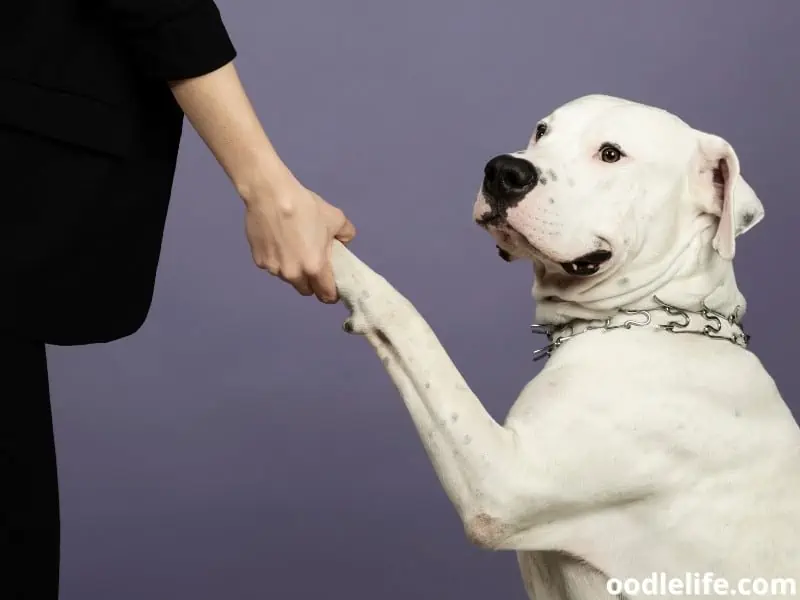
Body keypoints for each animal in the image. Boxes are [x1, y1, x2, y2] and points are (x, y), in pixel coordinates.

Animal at [328, 95, 796, 600]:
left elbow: (405, 317)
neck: (657, 318)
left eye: (611, 154)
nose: (503, 171)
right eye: (541, 131)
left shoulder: (500, 484)